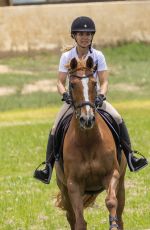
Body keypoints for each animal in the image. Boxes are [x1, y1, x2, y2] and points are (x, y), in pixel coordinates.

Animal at [55, 56, 126, 230]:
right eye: (72, 84)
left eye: (94, 83)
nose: (87, 119)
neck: (87, 142)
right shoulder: (73, 184)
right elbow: (79, 220)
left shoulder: (112, 174)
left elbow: (111, 202)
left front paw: (112, 224)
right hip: (64, 190)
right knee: (71, 217)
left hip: (121, 185)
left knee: (120, 213)